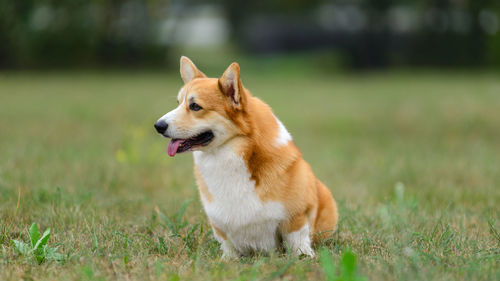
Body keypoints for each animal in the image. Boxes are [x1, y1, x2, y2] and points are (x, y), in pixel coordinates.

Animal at [154, 57, 338, 258]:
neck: (230, 153)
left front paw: (303, 256)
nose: (158, 126)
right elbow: (227, 244)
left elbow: (297, 239)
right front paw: (228, 260)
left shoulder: (296, 216)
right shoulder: (219, 224)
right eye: (178, 103)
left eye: (195, 106)